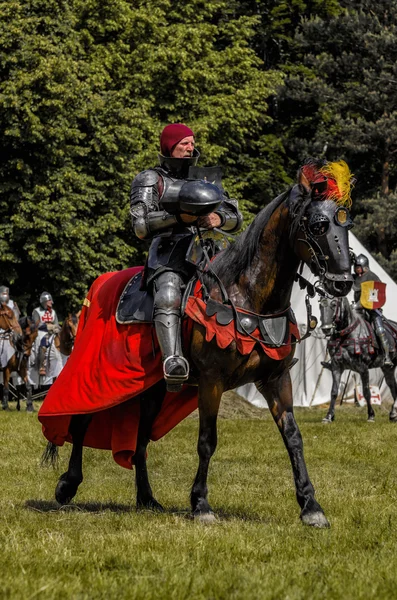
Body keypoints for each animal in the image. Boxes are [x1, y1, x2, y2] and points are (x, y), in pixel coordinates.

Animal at [41, 161, 352, 528]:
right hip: (101, 376)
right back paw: (68, 484)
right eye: (318, 225)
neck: (246, 295)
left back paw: (146, 498)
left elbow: (293, 438)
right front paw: (201, 503)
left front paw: (310, 505)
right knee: (81, 421)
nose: (343, 282)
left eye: (345, 224)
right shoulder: (211, 380)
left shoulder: (275, 379)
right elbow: (207, 441)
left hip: (152, 390)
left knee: (140, 439)